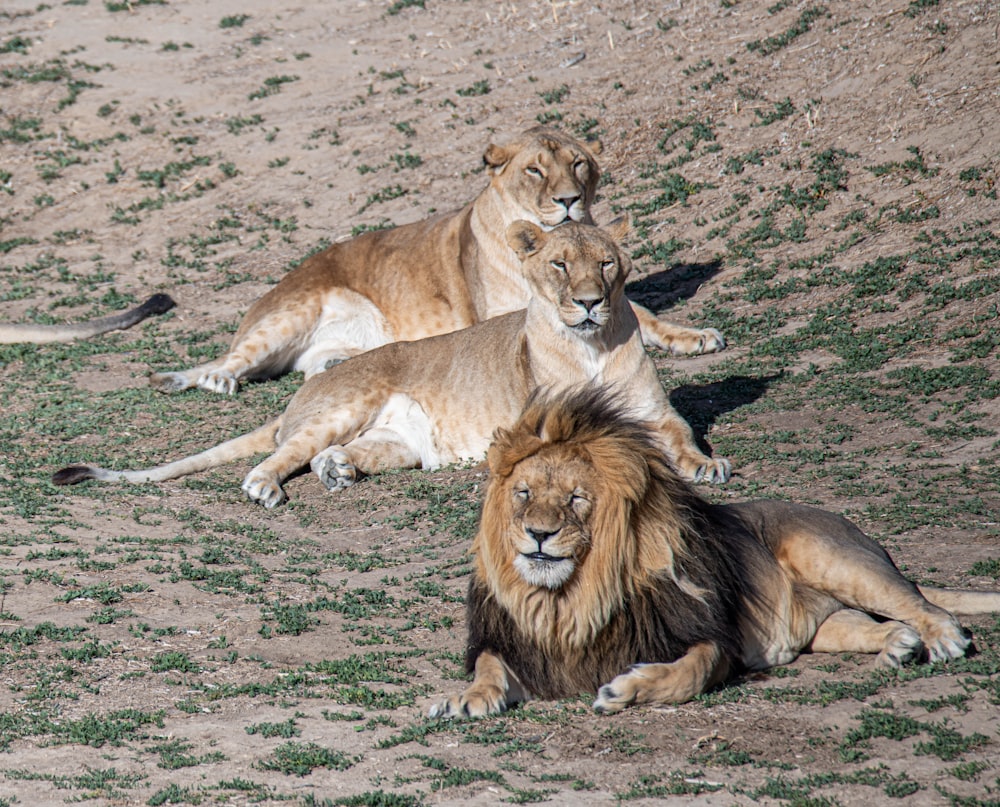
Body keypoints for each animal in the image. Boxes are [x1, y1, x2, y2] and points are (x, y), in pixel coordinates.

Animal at [52, 221, 728, 508]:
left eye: (606, 264)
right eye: (559, 265)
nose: (588, 301)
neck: (590, 347)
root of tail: (302, 394)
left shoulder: (654, 413)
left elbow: (681, 435)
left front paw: (707, 466)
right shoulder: (541, 426)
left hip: (398, 443)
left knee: (328, 455)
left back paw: (337, 473)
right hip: (348, 401)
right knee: (278, 457)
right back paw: (268, 487)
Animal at [148, 126, 724, 398]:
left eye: (579, 164)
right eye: (535, 170)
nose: (567, 200)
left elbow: (642, 313)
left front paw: (693, 336)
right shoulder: (509, 313)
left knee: (309, 365)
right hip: (292, 311)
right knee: (227, 361)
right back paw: (213, 379)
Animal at [434, 388, 1000, 716]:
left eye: (576, 498)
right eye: (523, 492)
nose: (538, 534)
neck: (569, 598)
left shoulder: (710, 635)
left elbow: (689, 674)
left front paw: (625, 691)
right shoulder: (522, 649)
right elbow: (488, 668)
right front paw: (465, 699)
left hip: (832, 555)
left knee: (920, 603)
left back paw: (943, 638)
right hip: (826, 624)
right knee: (869, 624)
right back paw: (898, 646)